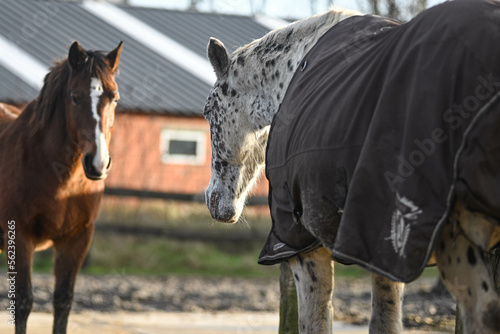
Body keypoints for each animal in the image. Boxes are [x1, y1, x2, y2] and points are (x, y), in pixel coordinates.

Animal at [0, 40, 123, 332]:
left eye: (114, 97)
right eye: (75, 97)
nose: (98, 163)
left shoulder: (76, 239)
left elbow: (63, 300)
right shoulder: (20, 236)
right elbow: (23, 302)